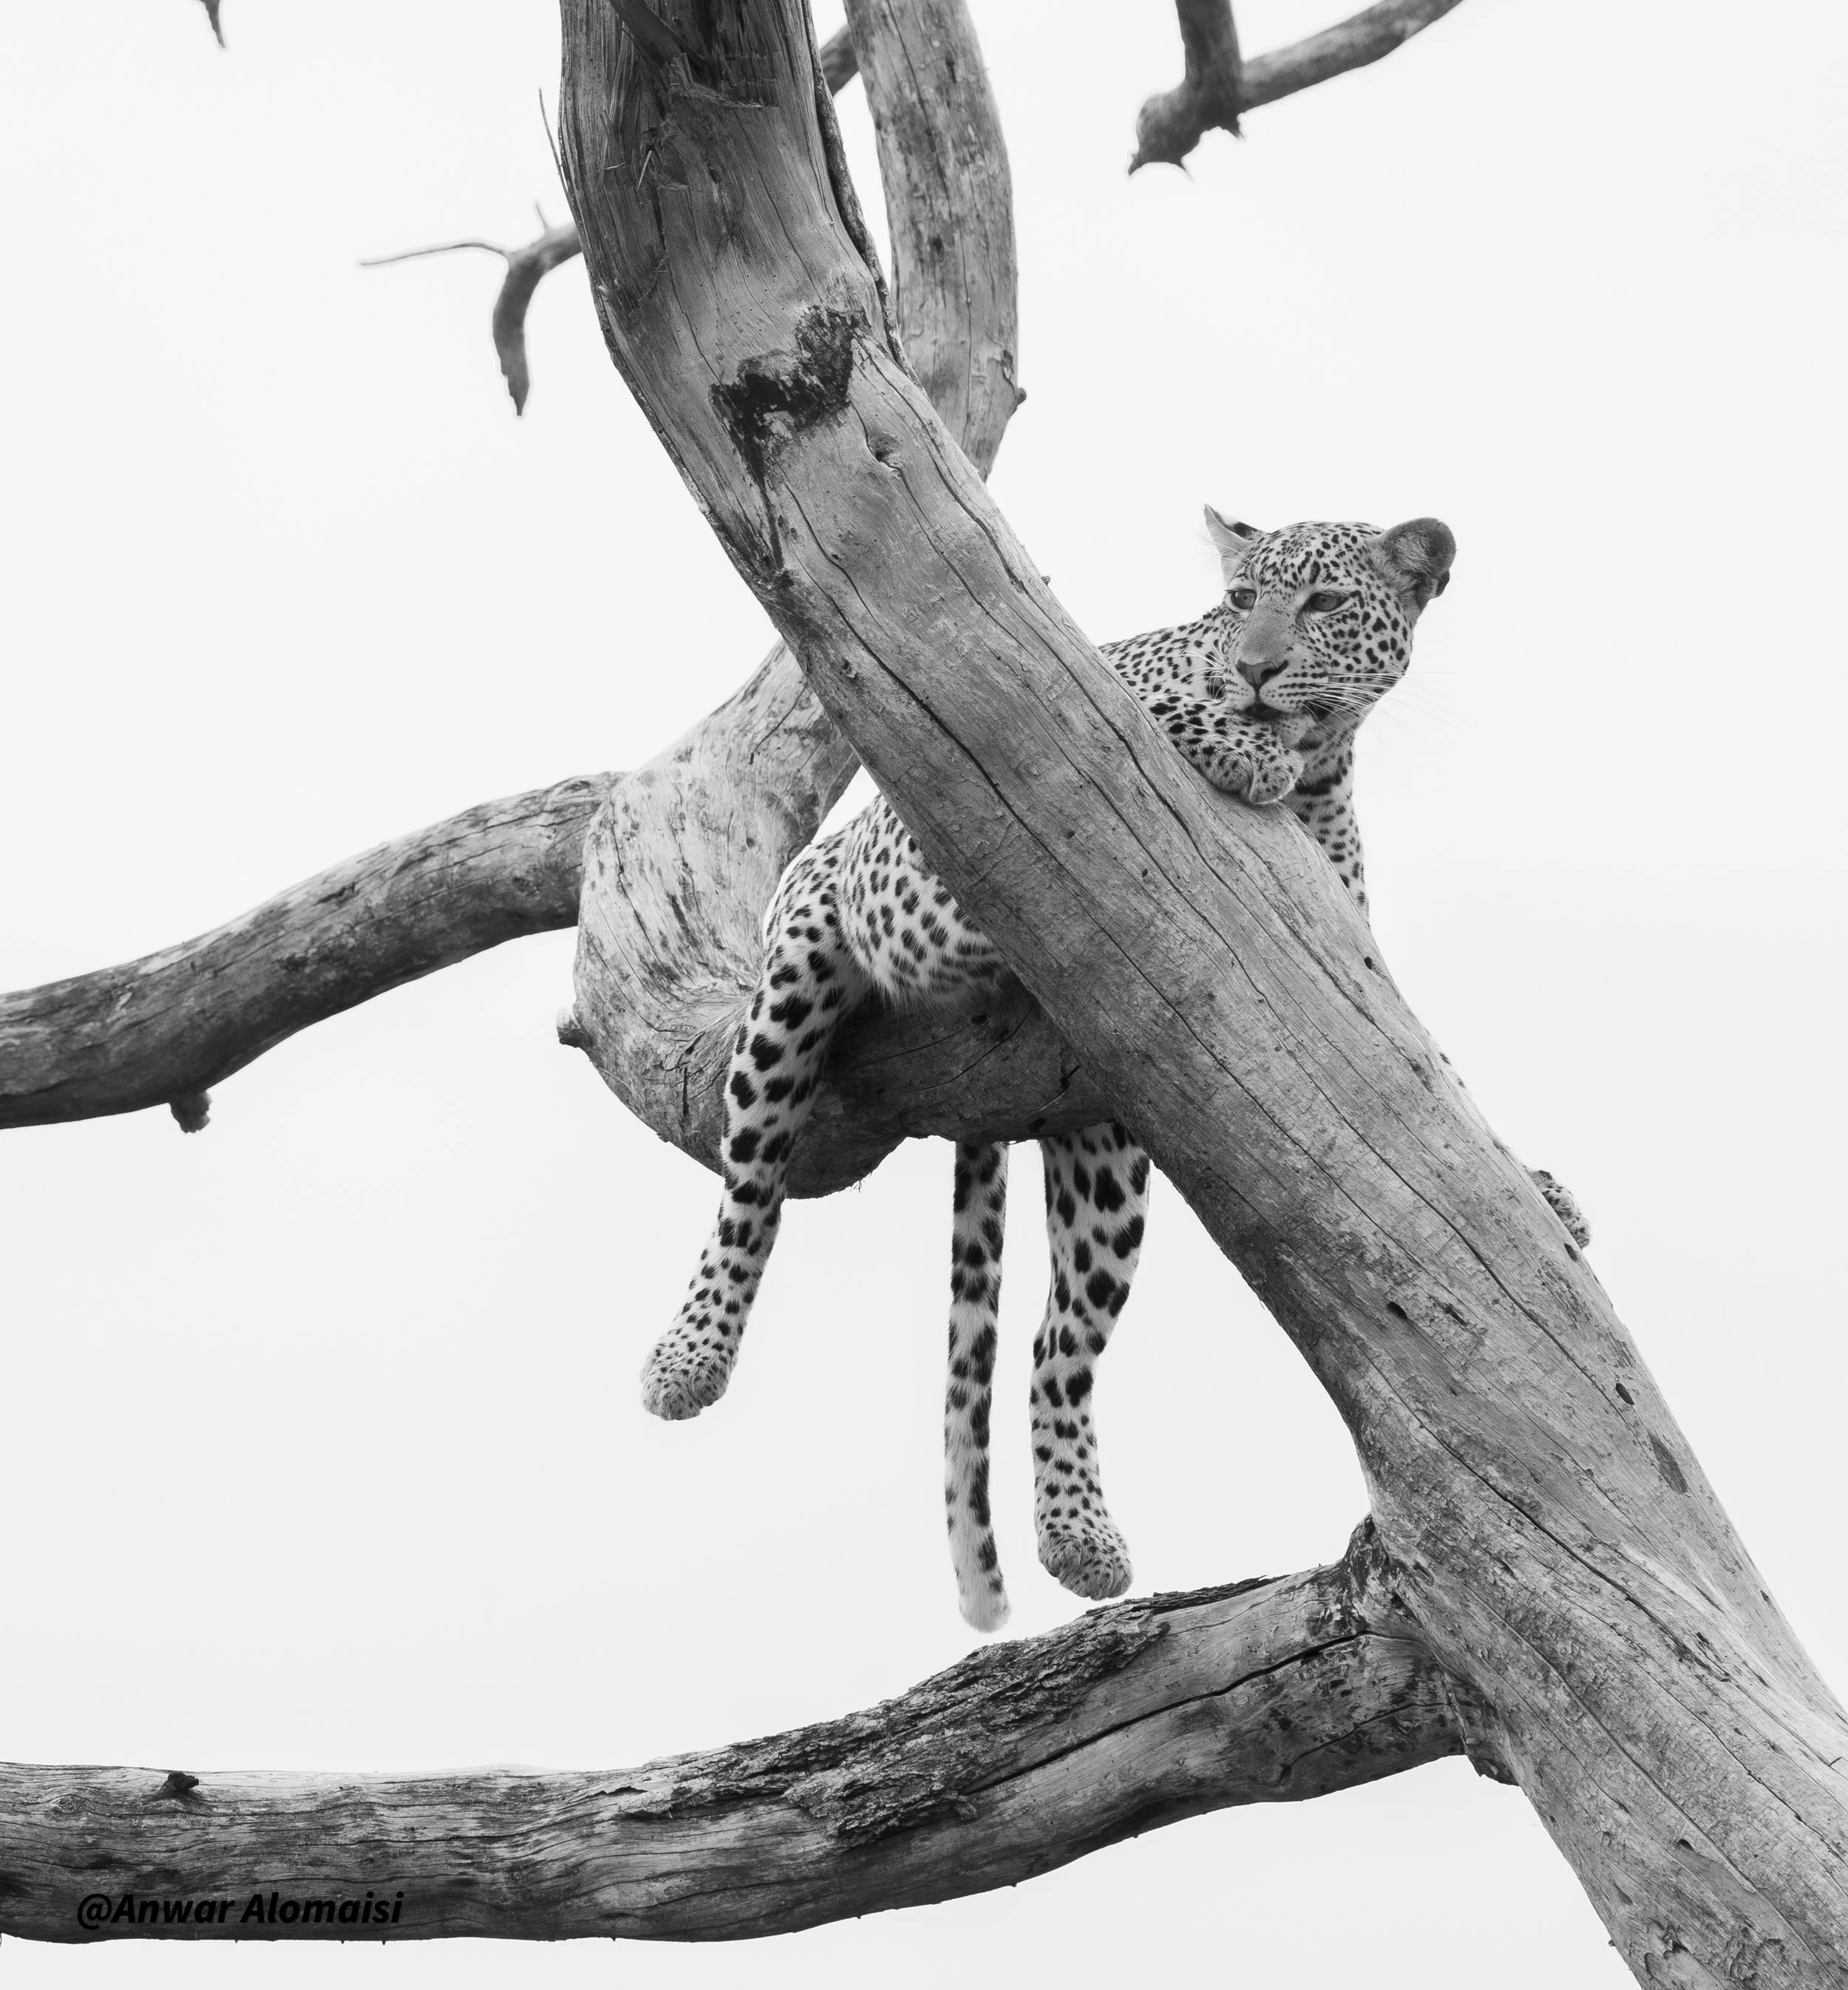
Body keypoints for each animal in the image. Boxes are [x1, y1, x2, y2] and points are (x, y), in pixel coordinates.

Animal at [640, 511, 1590, 1631]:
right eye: (1239, 602)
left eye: (1322, 604)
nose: (1256, 668)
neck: (1324, 763)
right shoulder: (963, 828)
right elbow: (1156, 708)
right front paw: (1238, 735)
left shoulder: (1348, 972)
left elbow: (1436, 1070)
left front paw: (1539, 1191)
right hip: (794, 979)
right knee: (750, 1192)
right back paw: (687, 1360)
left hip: (1106, 1155)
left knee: (1056, 1348)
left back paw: (1081, 1541)